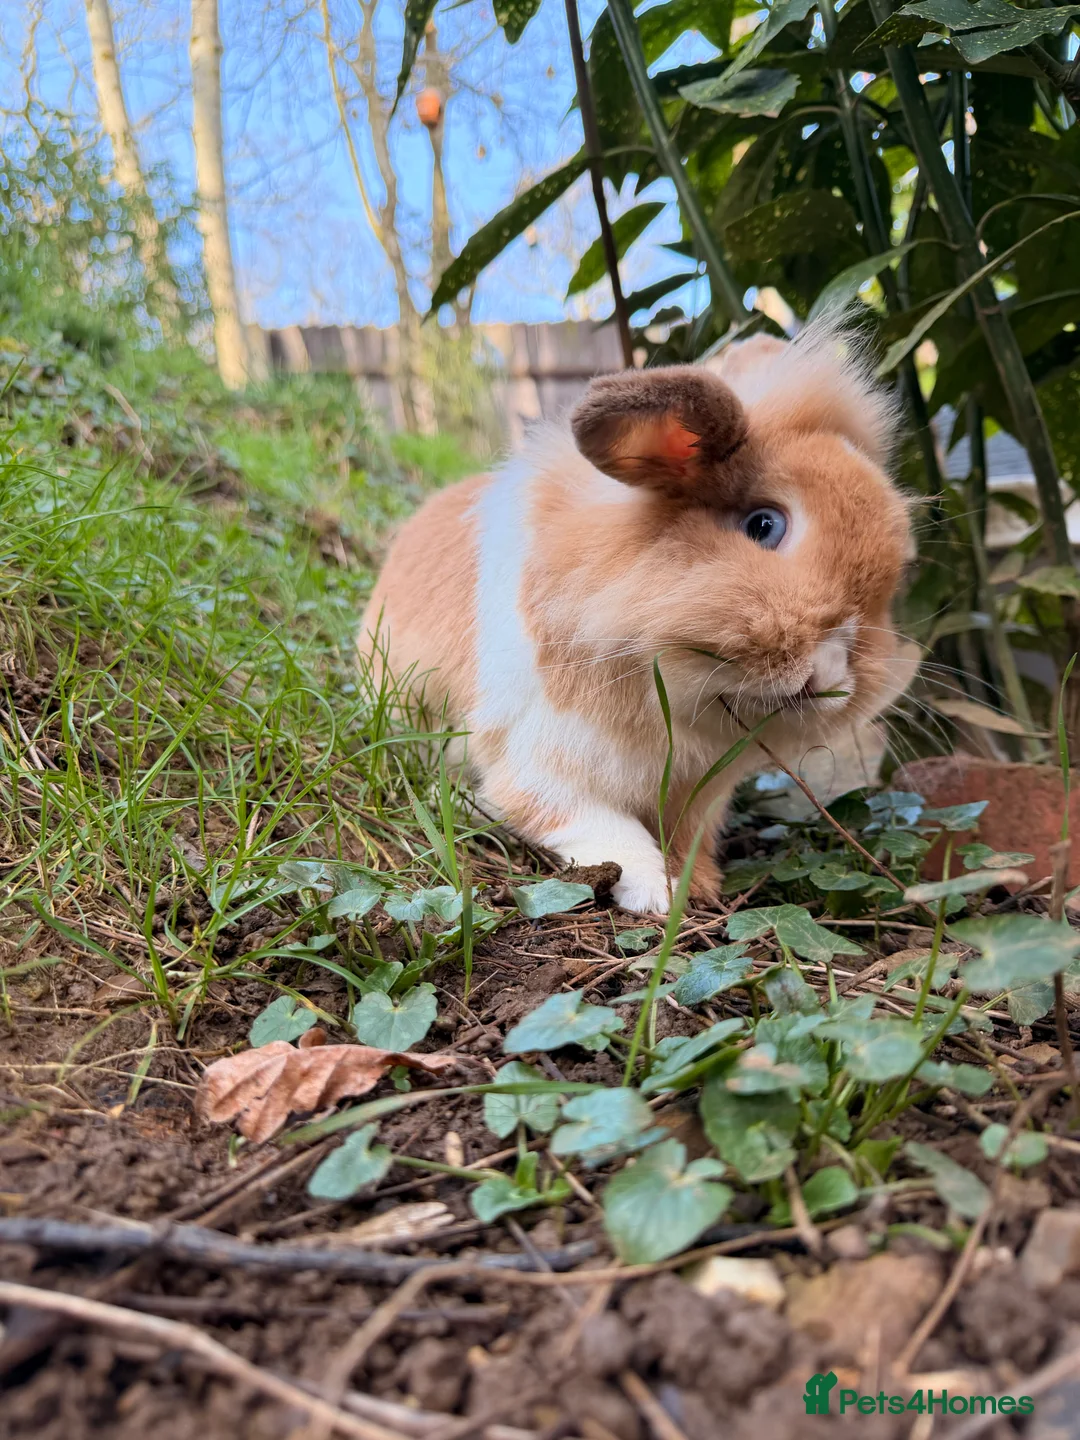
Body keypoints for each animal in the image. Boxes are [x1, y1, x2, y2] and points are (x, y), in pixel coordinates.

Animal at [360, 321, 916, 914]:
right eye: (764, 525)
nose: (831, 674)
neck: (677, 692)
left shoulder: (701, 790)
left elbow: (688, 832)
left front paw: (698, 883)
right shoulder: (540, 764)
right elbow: (601, 826)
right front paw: (655, 893)